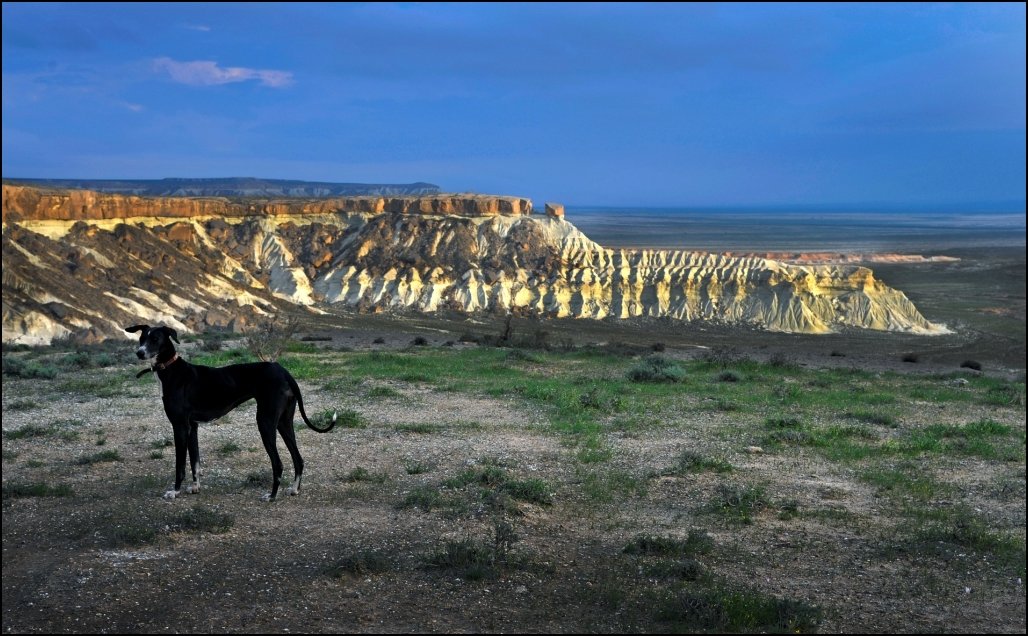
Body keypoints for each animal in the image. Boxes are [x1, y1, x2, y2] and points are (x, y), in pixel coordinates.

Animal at [123, 326, 333, 499]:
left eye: (155, 339)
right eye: (141, 338)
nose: (139, 353)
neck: (171, 370)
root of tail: (283, 371)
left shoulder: (180, 426)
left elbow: (180, 465)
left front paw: (174, 491)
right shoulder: (192, 426)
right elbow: (195, 461)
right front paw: (195, 487)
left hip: (265, 422)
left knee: (278, 463)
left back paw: (272, 496)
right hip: (284, 422)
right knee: (298, 459)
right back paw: (294, 489)